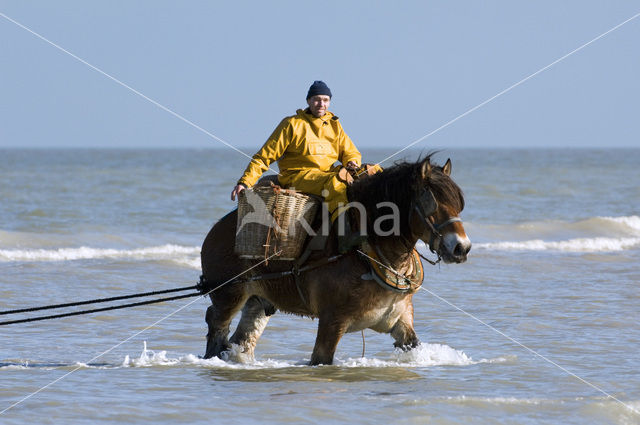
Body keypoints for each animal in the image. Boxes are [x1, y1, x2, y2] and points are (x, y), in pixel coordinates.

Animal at [200, 156, 470, 364]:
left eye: (458, 205)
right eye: (432, 205)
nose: (461, 247)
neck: (368, 253)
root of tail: (217, 228)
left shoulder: (401, 322)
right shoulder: (332, 322)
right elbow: (321, 358)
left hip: (257, 301)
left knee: (243, 338)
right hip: (229, 294)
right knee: (216, 323)